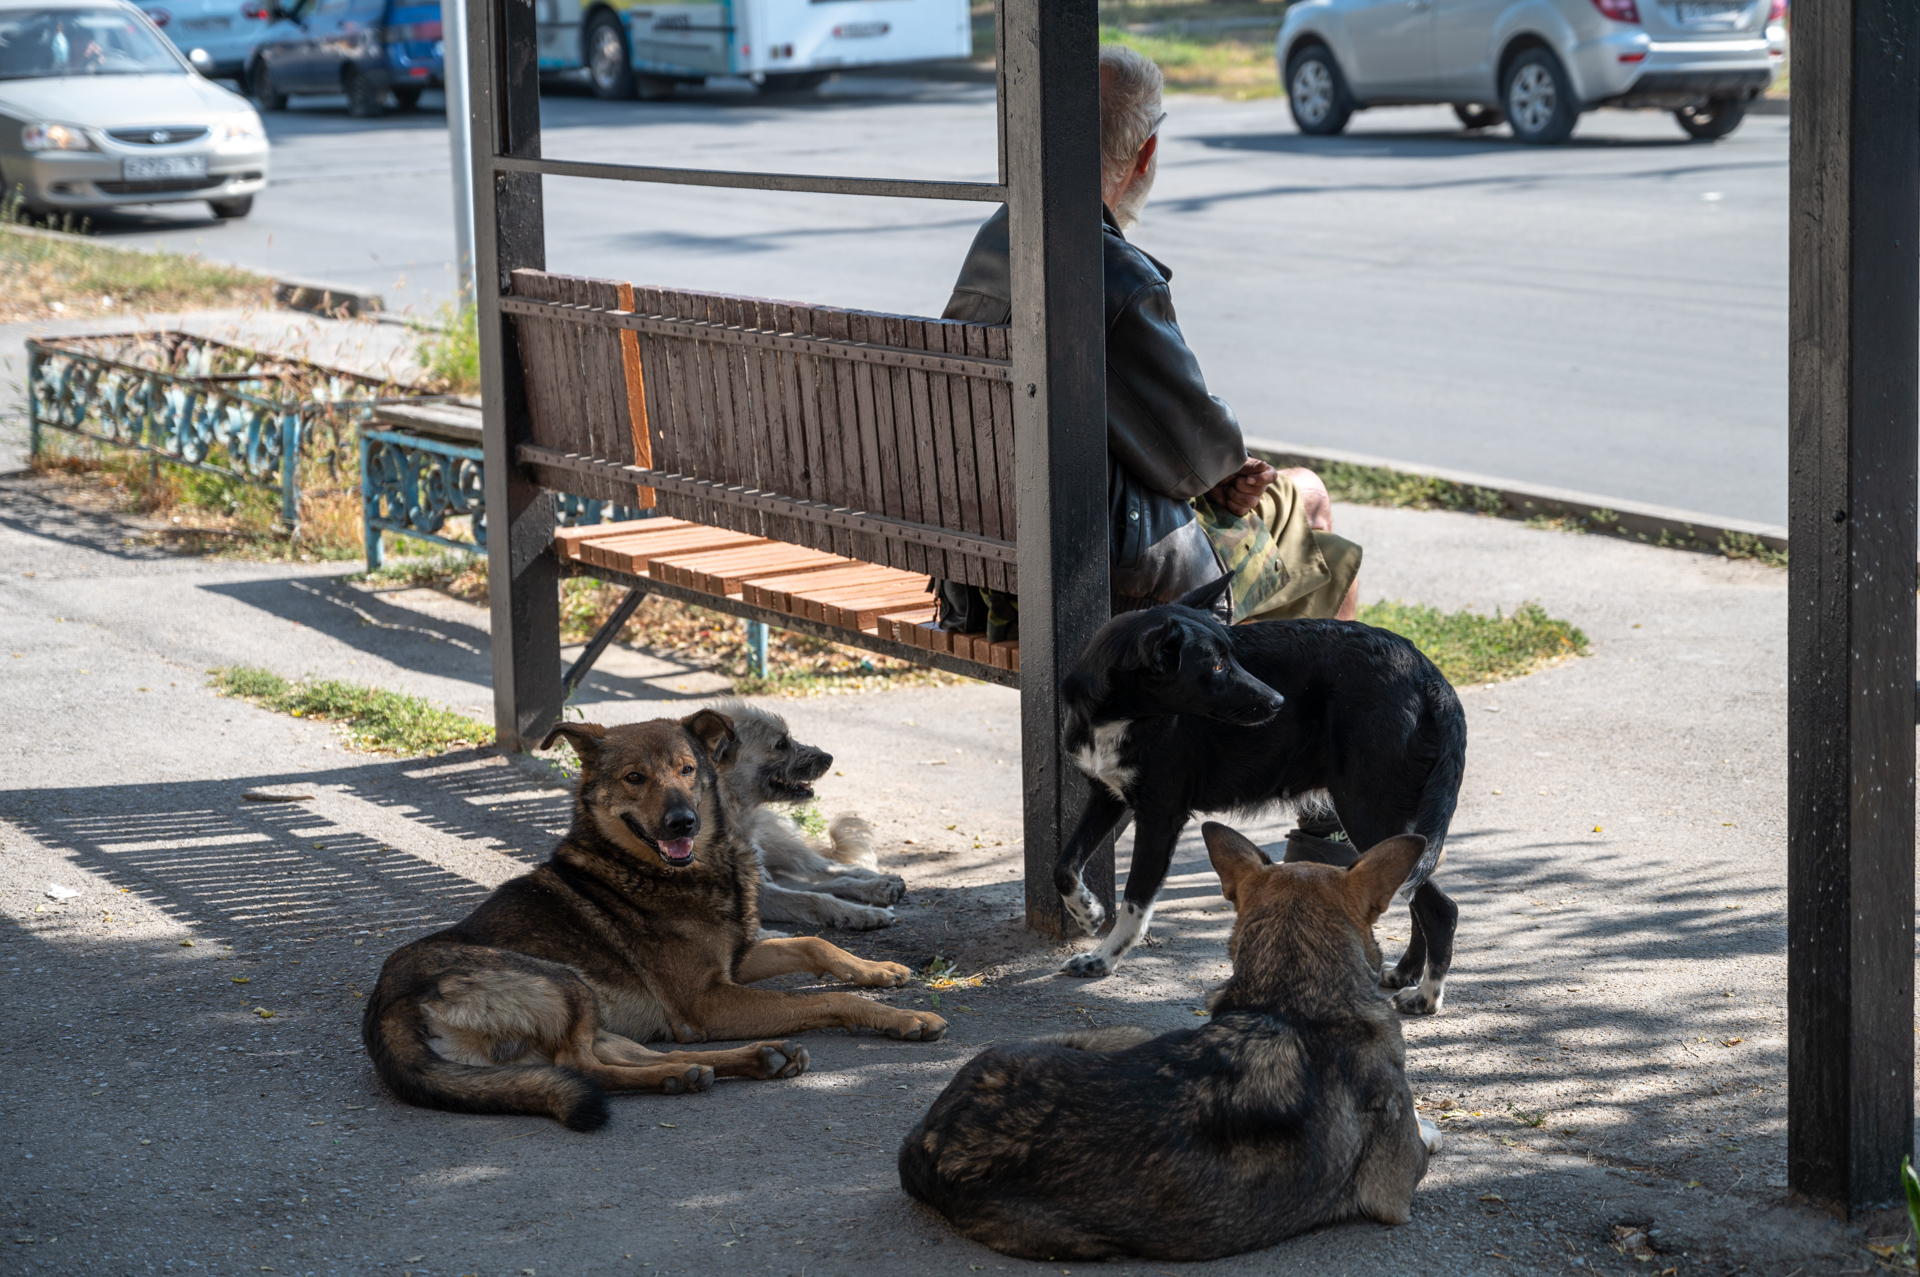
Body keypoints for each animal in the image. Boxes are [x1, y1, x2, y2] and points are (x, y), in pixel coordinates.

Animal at [710, 698, 910, 925]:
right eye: (781, 744)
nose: (829, 758)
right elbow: (811, 897)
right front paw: (862, 914)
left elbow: (813, 896)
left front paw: (865, 913)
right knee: (821, 882)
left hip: (782, 848)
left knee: (829, 867)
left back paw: (881, 883)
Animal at [898, 821, 1443, 1259]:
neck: (1289, 1000)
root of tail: (928, 1142)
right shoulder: (1396, 1191)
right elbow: (1418, 1137)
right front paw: (1431, 1127)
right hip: (1132, 1040)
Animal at [1059, 579, 1459, 1013]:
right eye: (1217, 667)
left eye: (1233, 657)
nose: (1279, 701)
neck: (1118, 717)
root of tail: (1428, 673)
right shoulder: (1107, 797)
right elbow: (1064, 866)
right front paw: (1087, 912)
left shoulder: (1160, 817)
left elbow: (1134, 904)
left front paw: (1102, 959)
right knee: (1419, 896)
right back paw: (1405, 973)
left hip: (1364, 810)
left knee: (1441, 908)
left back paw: (1426, 996)